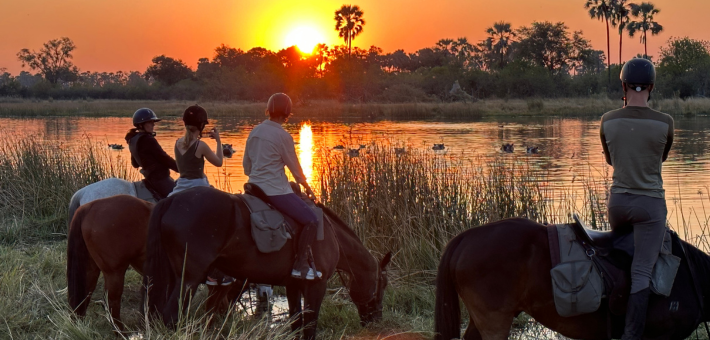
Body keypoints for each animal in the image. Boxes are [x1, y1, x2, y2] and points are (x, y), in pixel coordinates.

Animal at [142, 186, 392, 340]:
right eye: (382, 285)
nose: (376, 320)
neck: (331, 234)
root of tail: (172, 200)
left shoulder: (293, 286)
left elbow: (295, 323)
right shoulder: (316, 287)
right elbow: (309, 326)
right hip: (188, 280)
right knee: (171, 316)